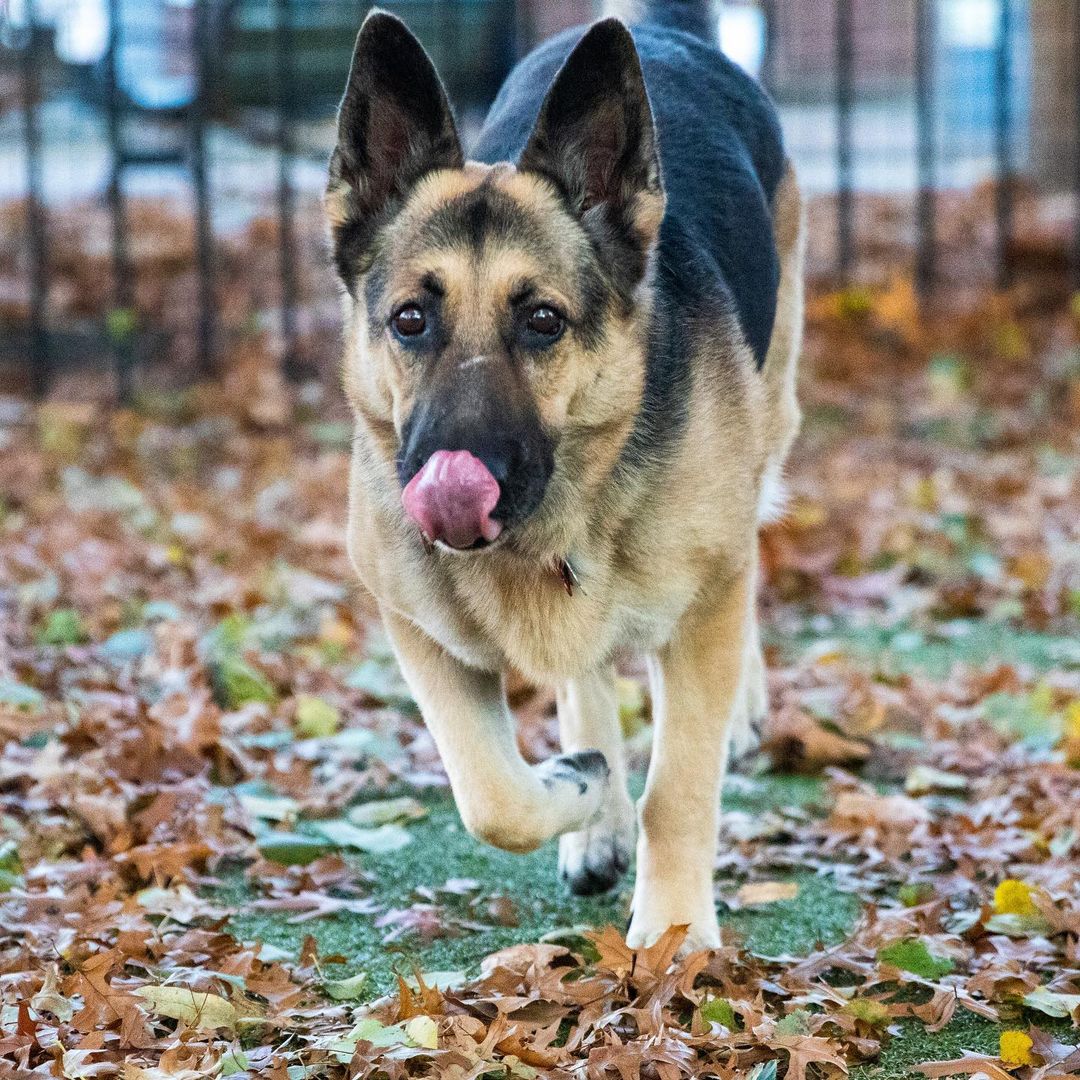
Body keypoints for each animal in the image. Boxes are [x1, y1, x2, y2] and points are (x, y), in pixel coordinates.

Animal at [326, 0, 803, 946]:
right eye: (409, 320)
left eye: (543, 321)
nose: (451, 477)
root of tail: (660, 32)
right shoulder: (419, 629)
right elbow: (492, 797)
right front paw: (579, 786)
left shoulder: (703, 609)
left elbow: (679, 791)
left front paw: (676, 937)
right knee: (584, 673)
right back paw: (598, 810)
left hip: (771, 430)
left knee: (751, 552)